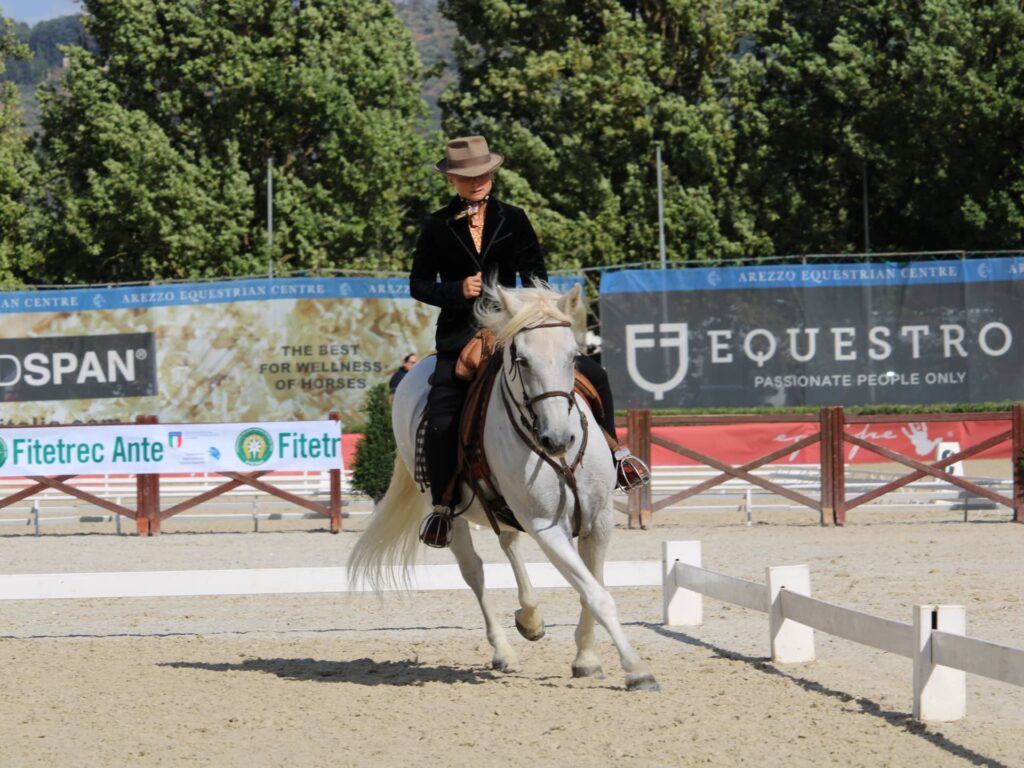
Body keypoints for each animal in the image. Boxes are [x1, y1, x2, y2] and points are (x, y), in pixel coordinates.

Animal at [348, 282, 659, 692]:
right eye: (521, 360)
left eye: (573, 356)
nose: (558, 439)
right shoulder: (547, 527)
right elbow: (597, 595)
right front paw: (637, 669)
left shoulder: (599, 520)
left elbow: (592, 588)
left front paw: (586, 658)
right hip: (448, 511)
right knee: (474, 571)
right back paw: (504, 650)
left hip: (503, 506)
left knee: (508, 542)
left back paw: (530, 618)